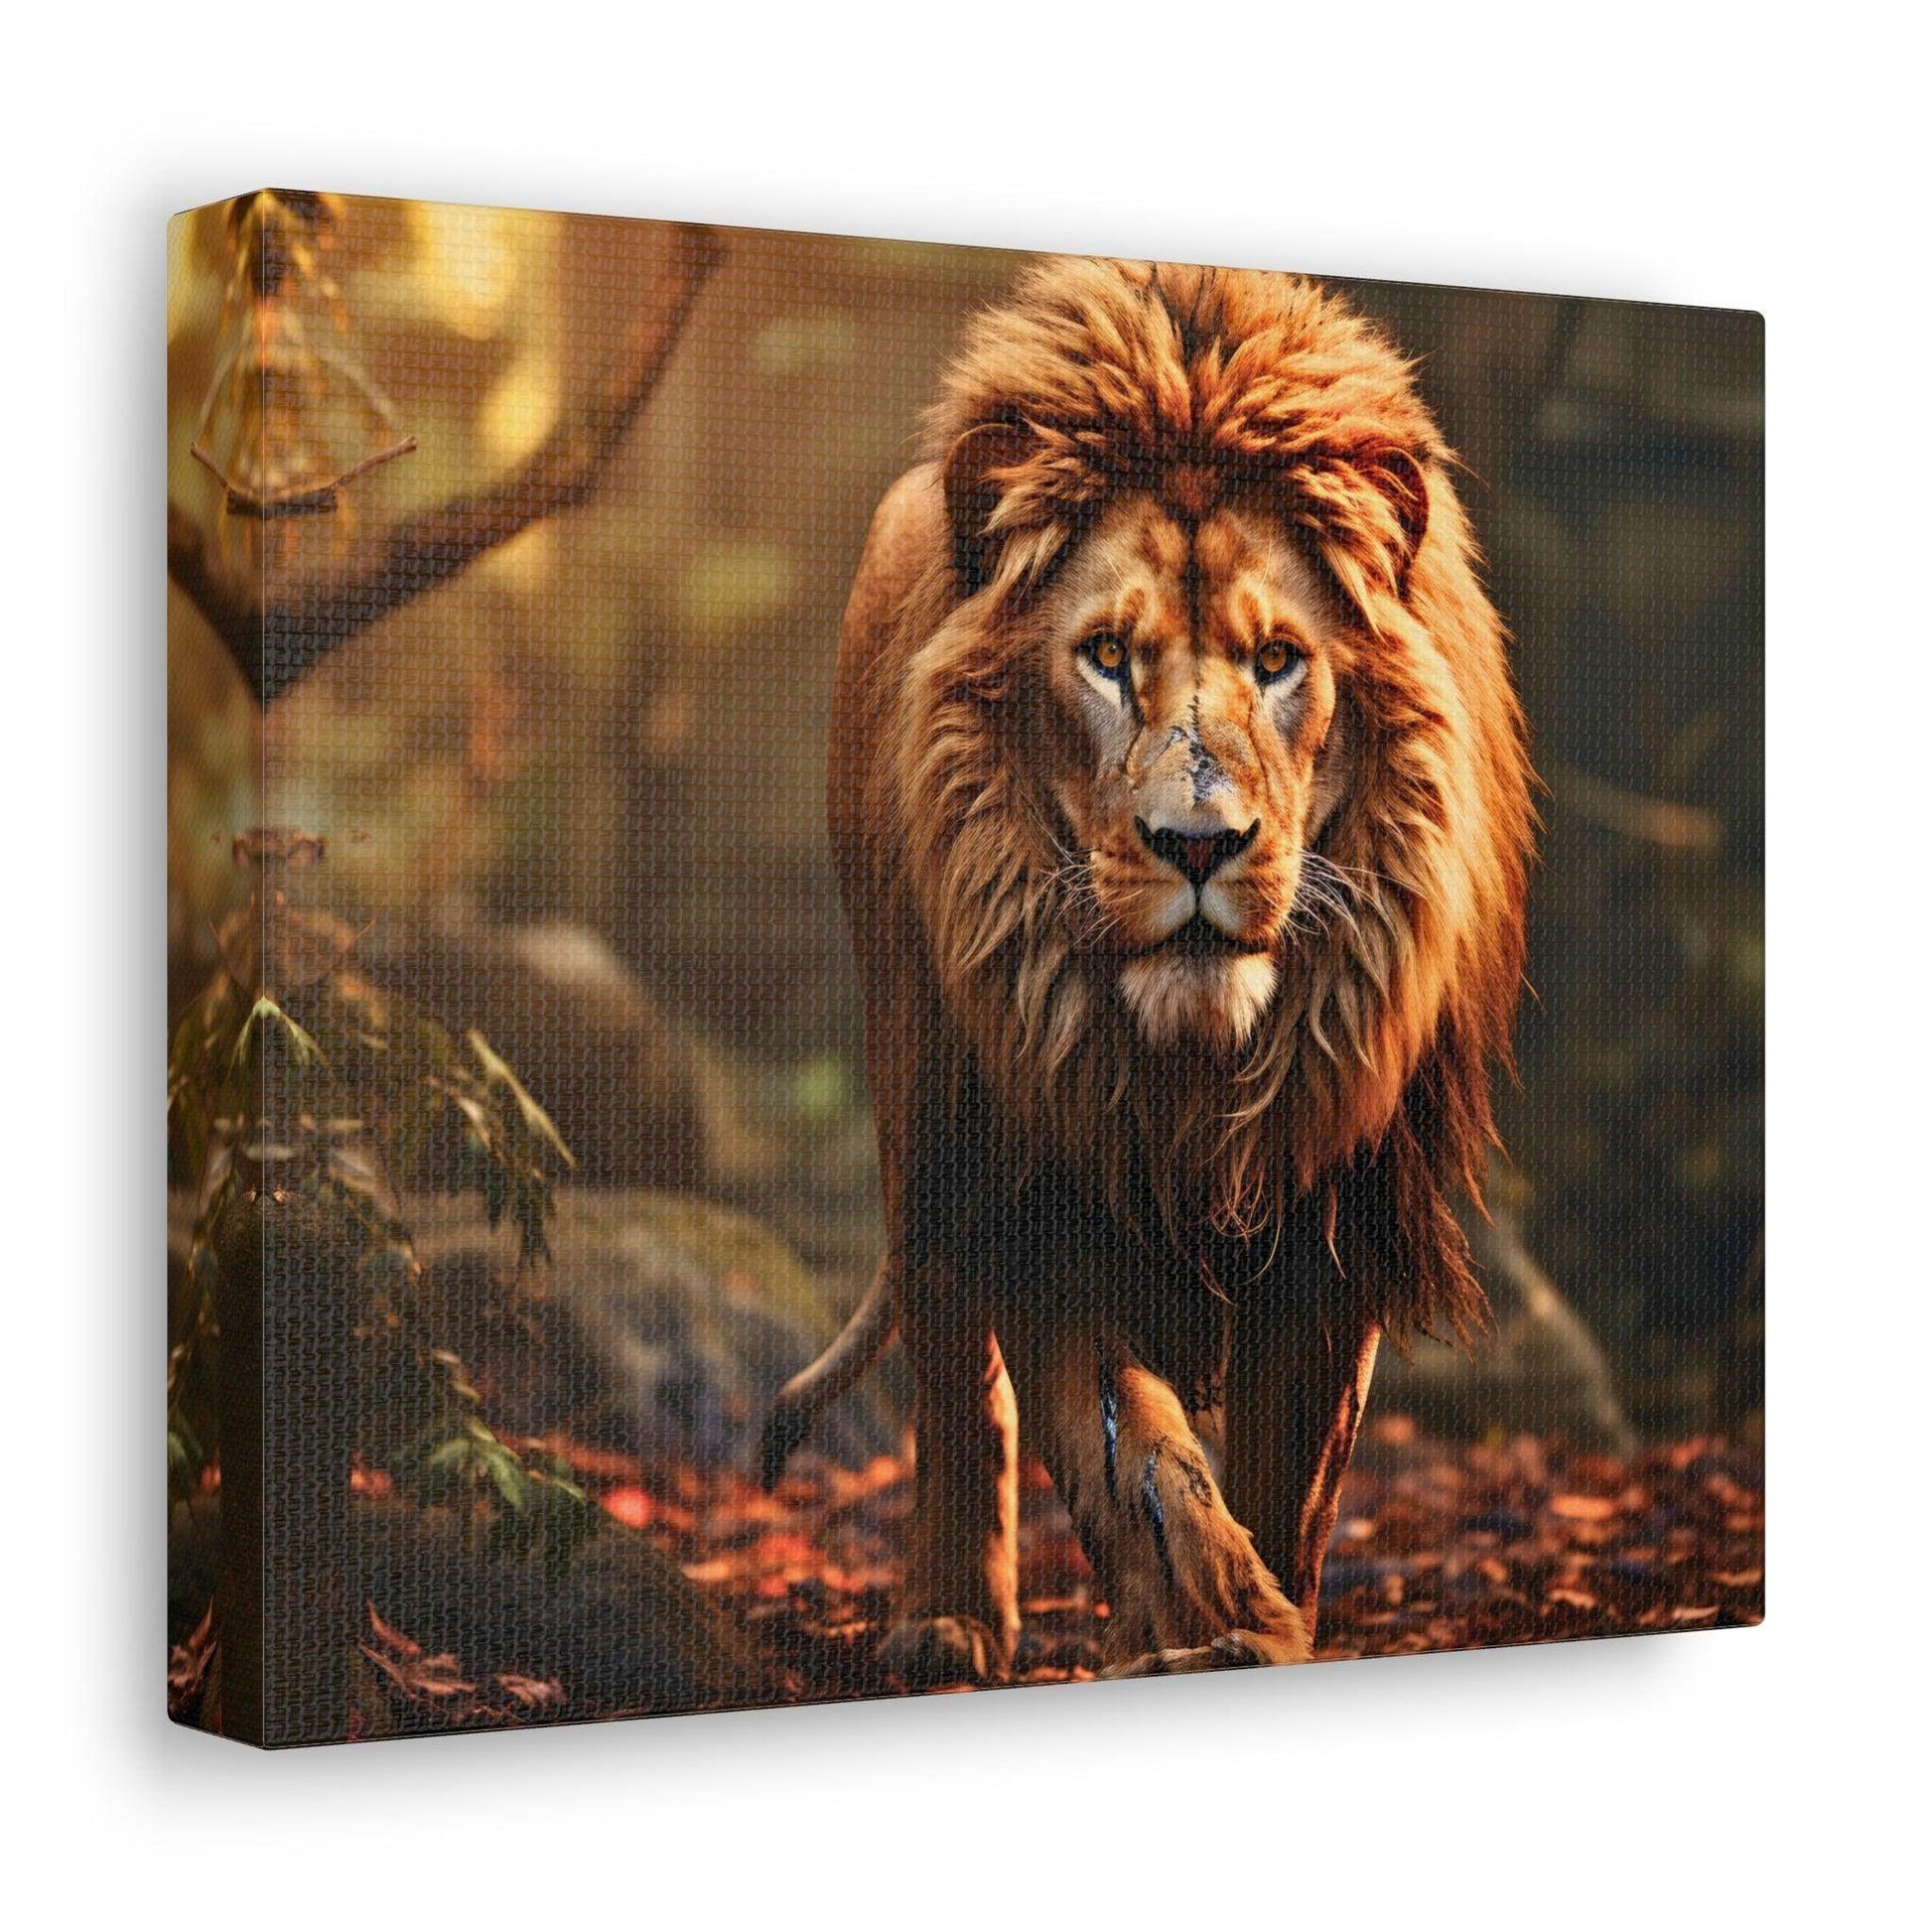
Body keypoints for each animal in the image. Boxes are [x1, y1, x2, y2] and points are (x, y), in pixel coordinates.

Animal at [760, 259, 1534, 1684]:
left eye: (1277, 660)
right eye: (1107, 656)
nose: (1195, 843)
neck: (1196, 1064)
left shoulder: (1333, 1210)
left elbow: (1290, 1478)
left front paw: (1259, 1619)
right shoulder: (1031, 1177)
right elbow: (1130, 1454)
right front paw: (1210, 1619)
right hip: (921, 1099)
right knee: (954, 1374)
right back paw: (948, 1618)